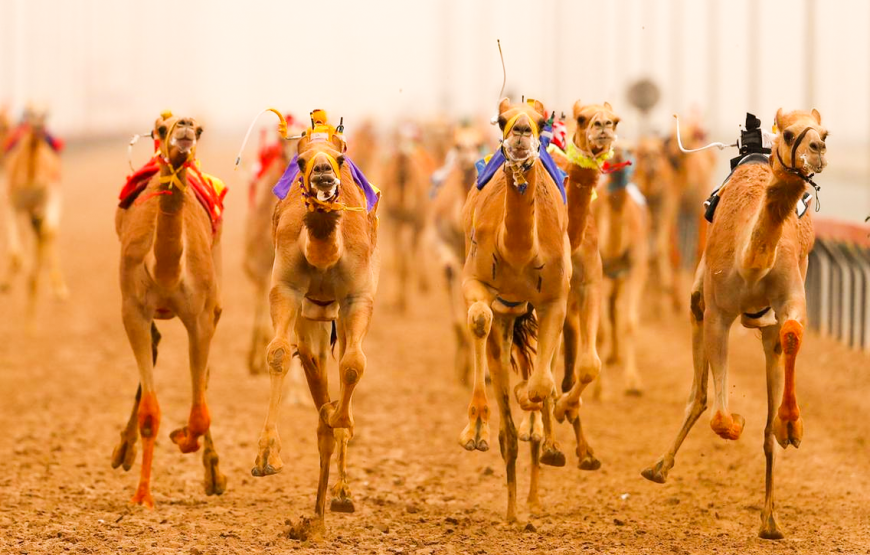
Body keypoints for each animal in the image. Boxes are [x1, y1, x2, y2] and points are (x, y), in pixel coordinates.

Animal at [1, 107, 68, 321]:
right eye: (28, 112)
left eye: (47, 114)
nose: (38, 126)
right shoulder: (21, 205)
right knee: (45, 232)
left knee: (46, 233)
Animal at [112, 112, 227, 509]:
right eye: (160, 129)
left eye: (201, 130)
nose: (186, 126)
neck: (163, 269)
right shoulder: (133, 309)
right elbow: (151, 412)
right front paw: (143, 496)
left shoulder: (201, 315)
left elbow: (201, 412)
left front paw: (184, 439)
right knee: (156, 342)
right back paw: (122, 452)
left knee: (204, 379)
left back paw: (214, 475)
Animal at [251, 112, 380, 536]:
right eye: (301, 158)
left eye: (340, 158)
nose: (323, 173)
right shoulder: (286, 288)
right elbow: (277, 353)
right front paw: (266, 457)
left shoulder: (358, 296)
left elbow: (354, 365)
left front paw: (343, 416)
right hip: (312, 322)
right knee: (312, 369)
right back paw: (319, 512)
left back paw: (339, 496)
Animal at [460, 97, 571, 521]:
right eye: (502, 119)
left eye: (540, 121)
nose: (522, 131)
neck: (521, 251)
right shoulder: (475, 280)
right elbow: (478, 318)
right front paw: (475, 431)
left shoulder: (555, 298)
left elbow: (541, 384)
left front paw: (537, 420)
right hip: (507, 313)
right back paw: (511, 510)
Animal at [642, 108, 828, 540]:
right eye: (789, 133)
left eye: (824, 133)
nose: (817, 149)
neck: (751, 261)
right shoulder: (718, 310)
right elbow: (721, 417)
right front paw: (739, 421)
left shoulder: (790, 296)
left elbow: (793, 332)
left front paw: (791, 427)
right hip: (701, 300)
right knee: (699, 394)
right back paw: (658, 467)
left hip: (763, 328)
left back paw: (770, 519)